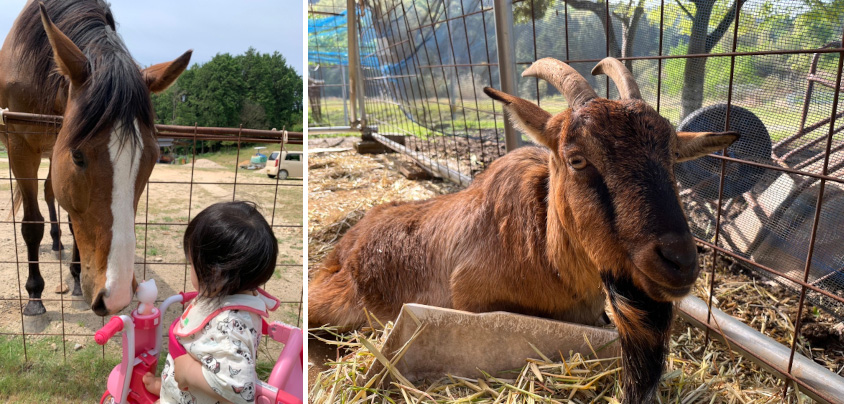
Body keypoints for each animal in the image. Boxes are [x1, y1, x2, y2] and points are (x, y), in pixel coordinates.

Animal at [0, 0, 191, 316]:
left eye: (152, 159)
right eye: (78, 156)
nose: (117, 296)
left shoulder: (59, 146)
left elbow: (72, 219)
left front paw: (77, 276)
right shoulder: (20, 146)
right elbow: (31, 225)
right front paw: (35, 295)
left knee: (50, 194)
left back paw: (58, 244)